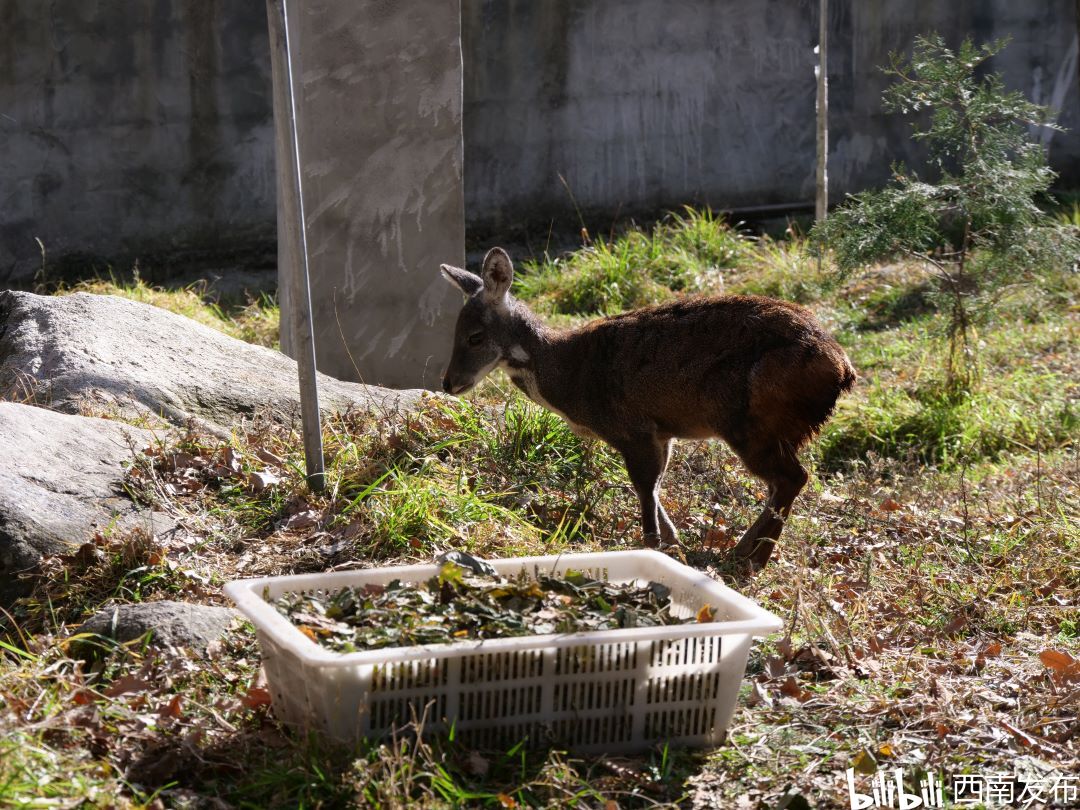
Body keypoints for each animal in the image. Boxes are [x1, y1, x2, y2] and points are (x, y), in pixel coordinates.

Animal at [436, 247, 851, 570]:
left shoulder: (631, 428)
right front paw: (675, 547)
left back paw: (748, 557)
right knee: (789, 479)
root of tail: (843, 369)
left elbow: (644, 489)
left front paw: (654, 550)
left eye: (475, 337)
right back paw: (745, 554)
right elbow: (657, 488)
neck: (568, 374)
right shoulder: (660, 432)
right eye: (456, 333)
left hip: (751, 422)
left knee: (792, 477)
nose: (449, 383)